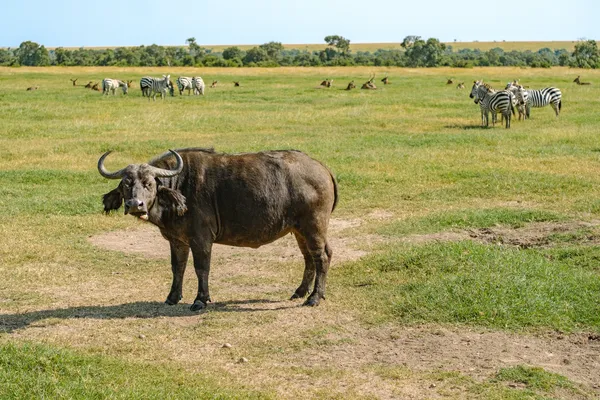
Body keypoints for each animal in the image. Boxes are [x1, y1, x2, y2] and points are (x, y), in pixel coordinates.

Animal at [98, 148, 338, 310]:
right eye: (126, 184)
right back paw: (300, 292)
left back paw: (314, 297)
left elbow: (201, 268)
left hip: (314, 227)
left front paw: (200, 300)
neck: (180, 186)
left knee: (322, 257)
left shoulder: (201, 239)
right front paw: (172, 297)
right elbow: (178, 268)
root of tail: (322, 168)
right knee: (309, 258)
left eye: (149, 183)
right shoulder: (177, 240)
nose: (135, 205)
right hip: (299, 230)